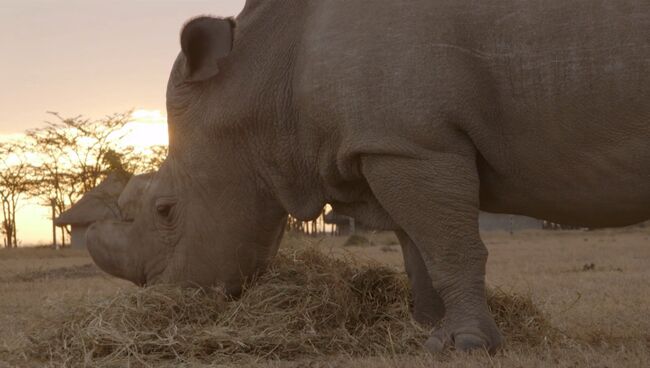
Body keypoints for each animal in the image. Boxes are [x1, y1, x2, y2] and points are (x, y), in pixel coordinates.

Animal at [86, 0, 648, 354]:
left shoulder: (414, 142)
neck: (264, 79)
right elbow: (419, 250)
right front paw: (430, 332)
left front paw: (468, 345)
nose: (161, 299)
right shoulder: (393, 144)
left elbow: (450, 247)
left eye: (165, 210)